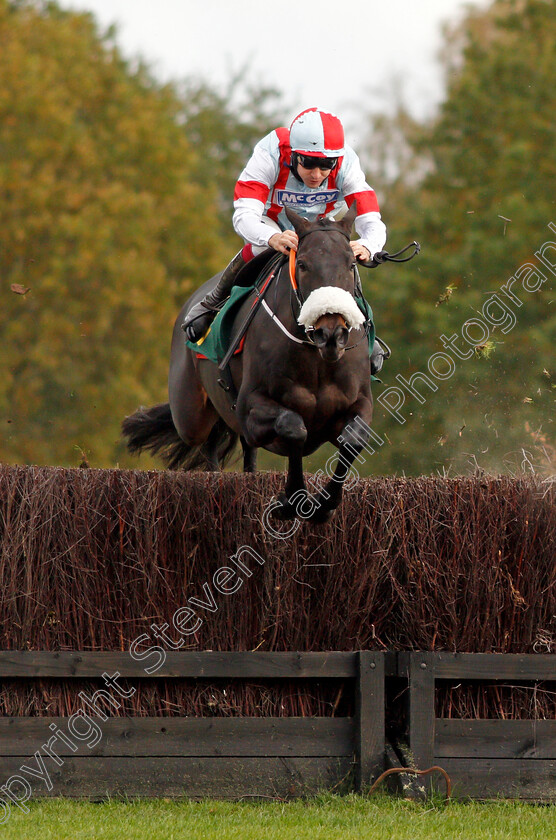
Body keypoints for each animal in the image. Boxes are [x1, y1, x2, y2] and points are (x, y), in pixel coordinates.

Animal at [121, 202, 374, 520]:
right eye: (303, 264)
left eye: (351, 265)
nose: (331, 334)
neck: (315, 359)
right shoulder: (250, 407)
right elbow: (293, 426)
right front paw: (292, 501)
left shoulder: (358, 402)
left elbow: (353, 439)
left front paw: (324, 504)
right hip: (191, 414)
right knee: (207, 437)